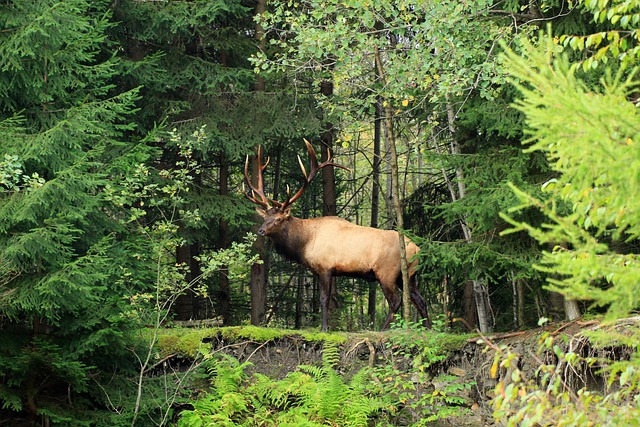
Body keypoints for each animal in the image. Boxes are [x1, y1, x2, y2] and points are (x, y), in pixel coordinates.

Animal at [245, 140, 430, 332]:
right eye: (265, 217)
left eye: (279, 219)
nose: (261, 231)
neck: (304, 243)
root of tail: (417, 248)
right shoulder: (327, 271)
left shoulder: (325, 267)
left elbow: (324, 299)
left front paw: (324, 328)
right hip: (408, 275)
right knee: (420, 300)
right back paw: (429, 328)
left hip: (387, 272)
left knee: (396, 301)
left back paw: (382, 328)